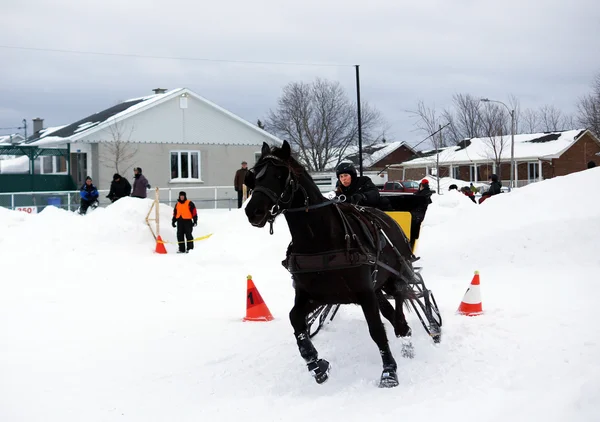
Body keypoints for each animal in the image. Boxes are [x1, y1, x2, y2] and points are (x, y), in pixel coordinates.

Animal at [244, 142, 418, 390]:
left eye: (279, 175)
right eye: (254, 176)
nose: (253, 211)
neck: (319, 239)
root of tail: (390, 220)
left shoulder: (364, 292)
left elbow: (376, 330)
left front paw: (389, 372)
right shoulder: (314, 295)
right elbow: (296, 321)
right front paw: (316, 365)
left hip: (396, 276)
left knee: (401, 298)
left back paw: (404, 333)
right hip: (376, 286)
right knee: (389, 309)